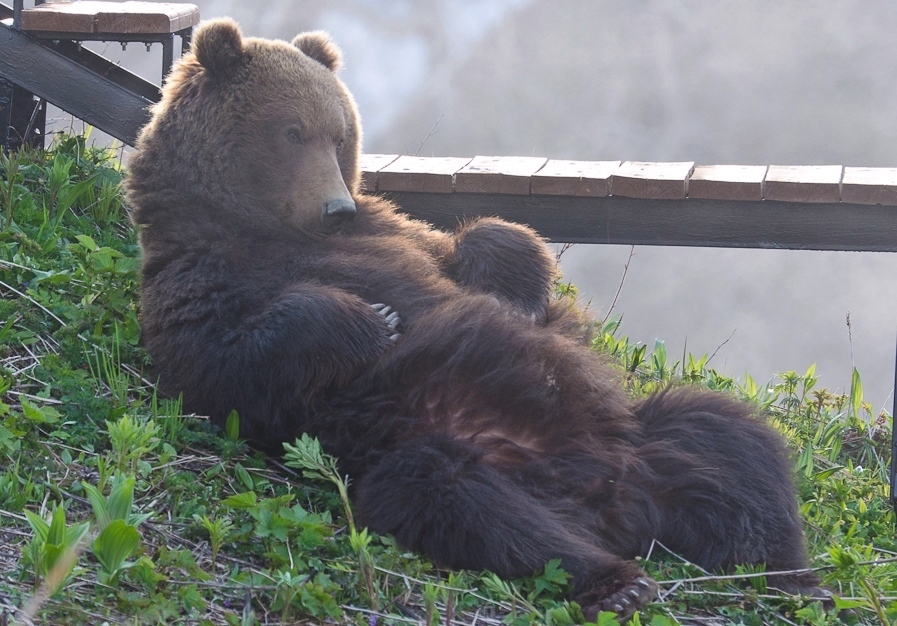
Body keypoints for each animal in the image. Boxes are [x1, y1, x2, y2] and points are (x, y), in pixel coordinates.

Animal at [126, 17, 824, 616]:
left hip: (640, 440)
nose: (335, 208)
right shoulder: (197, 278)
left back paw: (794, 575)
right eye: (291, 131)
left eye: (339, 133)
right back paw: (615, 581)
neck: (263, 229)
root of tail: (609, 505)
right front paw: (374, 318)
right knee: (464, 502)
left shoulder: (399, 232)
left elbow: (479, 245)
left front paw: (516, 296)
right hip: (435, 449)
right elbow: (227, 367)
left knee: (728, 439)